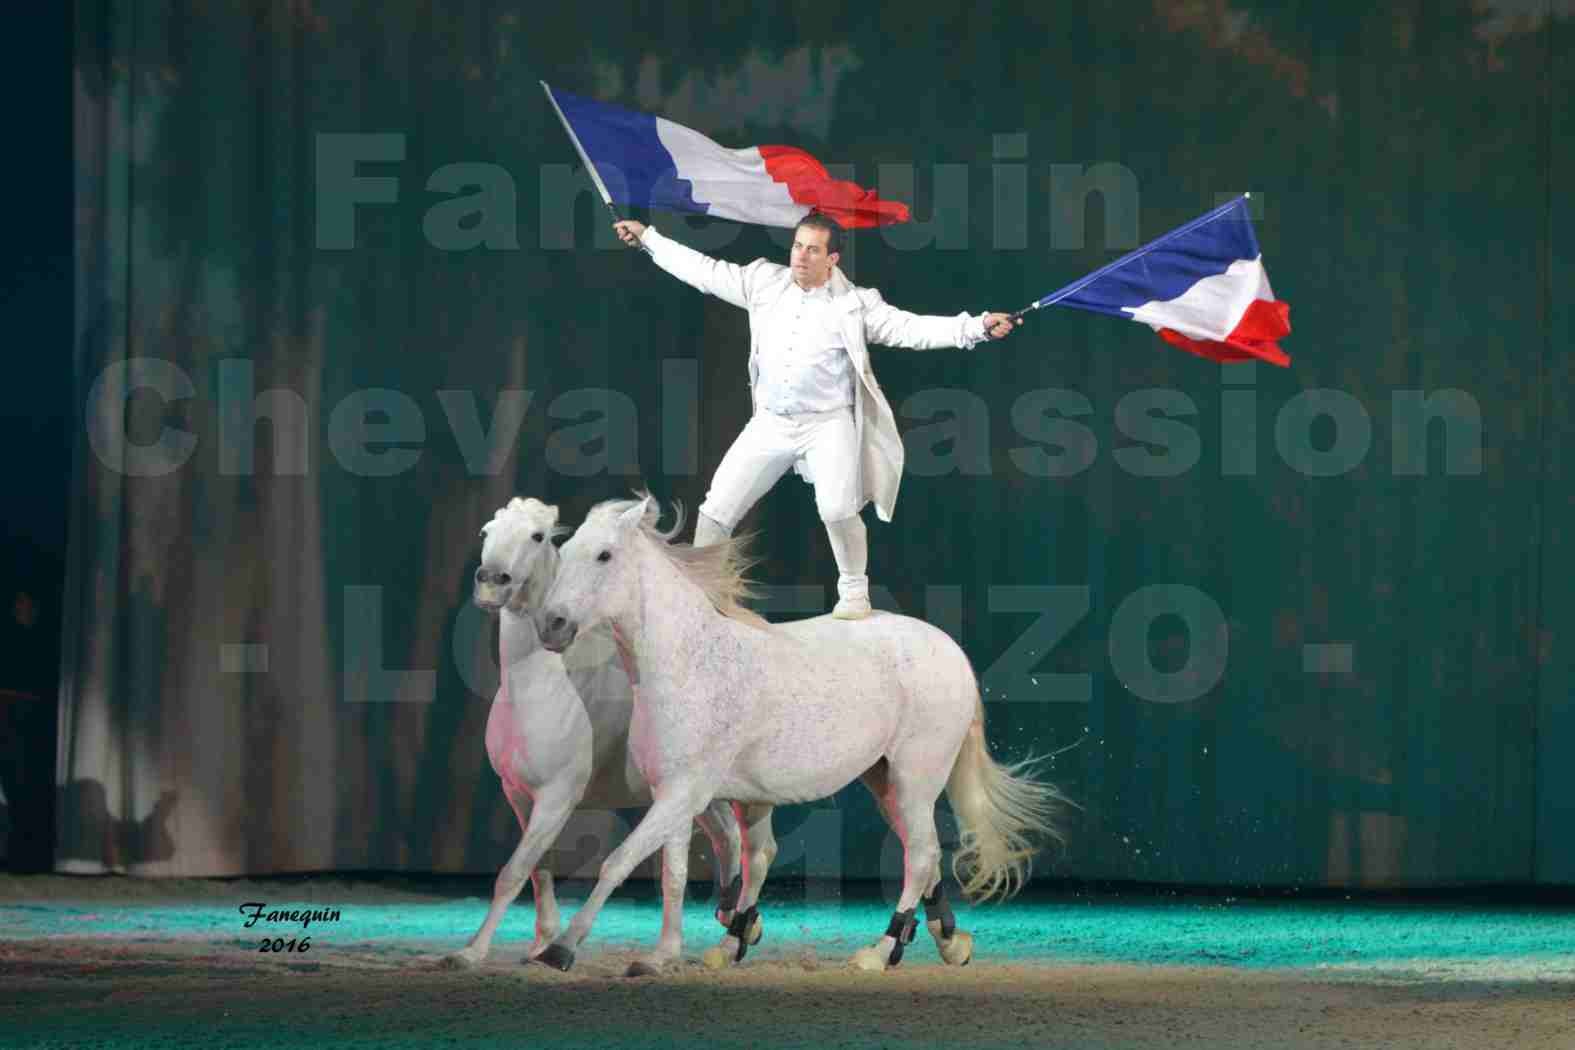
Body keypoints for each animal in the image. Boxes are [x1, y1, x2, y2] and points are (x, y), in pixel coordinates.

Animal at [444, 497, 768, 976]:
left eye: (538, 536)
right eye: (487, 531)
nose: (491, 583)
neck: (537, 691)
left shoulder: (557, 797)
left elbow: (513, 873)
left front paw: (471, 952)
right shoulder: (519, 795)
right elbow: (537, 868)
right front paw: (542, 943)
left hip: (748, 798)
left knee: (758, 855)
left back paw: (733, 939)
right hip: (702, 798)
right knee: (727, 840)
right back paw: (728, 919)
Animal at [532, 497, 1071, 976]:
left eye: (604, 555)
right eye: (567, 549)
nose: (551, 625)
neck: (688, 661)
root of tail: (951, 650)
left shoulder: (682, 795)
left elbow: (618, 862)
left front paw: (561, 950)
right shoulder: (678, 796)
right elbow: (676, 876)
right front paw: (664, 957)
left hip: (916, 778)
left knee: (919, 857)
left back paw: (880, 951)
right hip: (883, 782)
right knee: (927, 855)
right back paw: (946, 942)